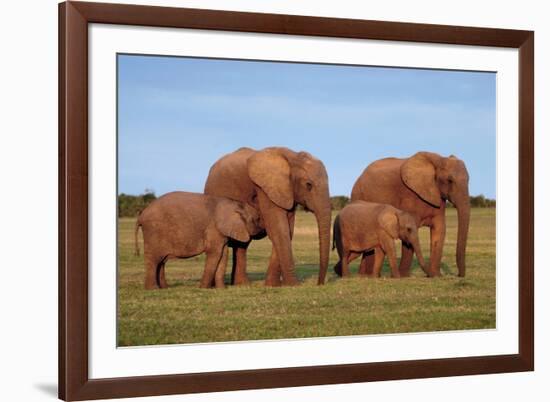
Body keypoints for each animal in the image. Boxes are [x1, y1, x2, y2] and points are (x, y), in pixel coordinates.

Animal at [204, 147, 330, 286]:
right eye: (308, 185)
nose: (319, 283)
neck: (292, 156)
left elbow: (287, 229)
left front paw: (273, 285)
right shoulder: (264, 188)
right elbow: (279, 229)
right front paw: (293, 285)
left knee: (242, 244)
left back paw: (242, 284)